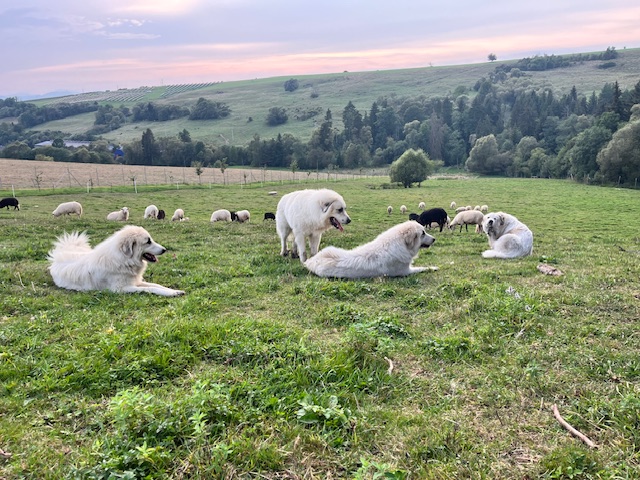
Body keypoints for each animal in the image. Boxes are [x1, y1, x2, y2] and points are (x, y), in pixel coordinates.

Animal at [48, 225, 185, 296]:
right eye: (148, 241)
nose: (164, 249)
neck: (124, 260)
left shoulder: (135, 281)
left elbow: (156, 285)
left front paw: (175, 291)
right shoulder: (122, 288)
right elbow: (150, 289)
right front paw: (170, 293)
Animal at [304, 220, 436, 280]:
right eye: (423, 233)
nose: (434, 239)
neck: (401, 244)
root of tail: (311, 261)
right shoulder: (406, 271)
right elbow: (422, 268)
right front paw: (433, 267)